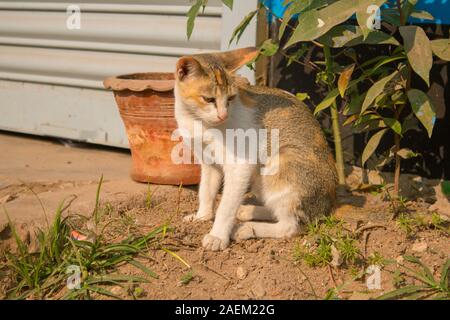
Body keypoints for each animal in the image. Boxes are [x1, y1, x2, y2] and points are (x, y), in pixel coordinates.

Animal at [174, 47, 336, 252]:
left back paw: (246, 228)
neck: (198, 122)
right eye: (209, 99)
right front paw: (202, 216)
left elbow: (226, 206)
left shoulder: (240, 165)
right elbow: (206, 191)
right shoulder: (209, 163)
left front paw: (217, 235)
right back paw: (248, 211)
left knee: (290, 226)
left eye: (231, 98)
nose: (223, 115)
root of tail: (329, 203)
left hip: (280, 162)